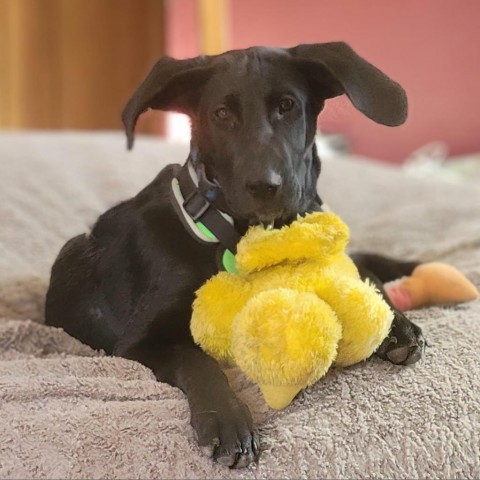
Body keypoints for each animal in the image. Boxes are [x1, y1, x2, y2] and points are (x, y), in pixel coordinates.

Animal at [46, 42, 424, 468]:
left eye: (287, 106)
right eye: (221, 114)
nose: (264, 186)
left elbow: (361, 274)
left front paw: (397, 324)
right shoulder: (141, 340)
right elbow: (198, 360)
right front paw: (227, 420)